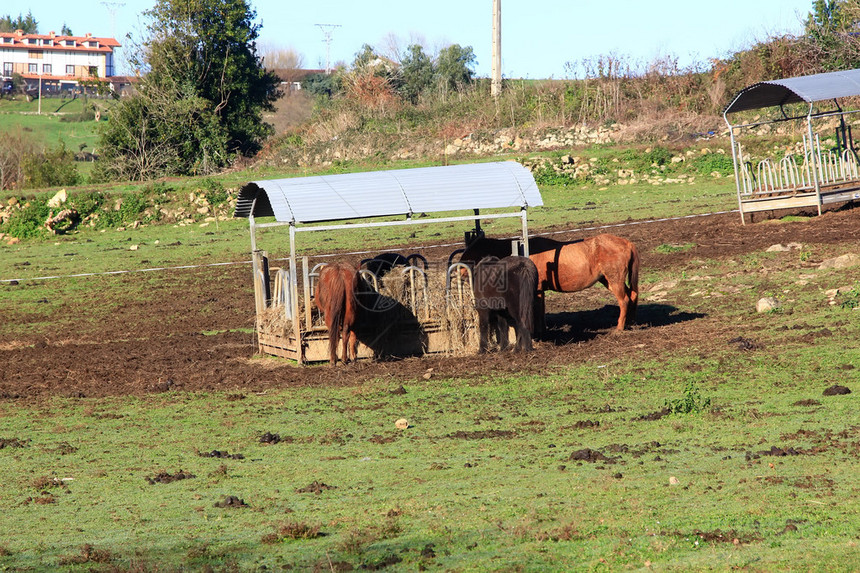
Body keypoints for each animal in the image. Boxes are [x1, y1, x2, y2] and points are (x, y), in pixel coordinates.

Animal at [464, 233, 640, 330]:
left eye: (472, 251)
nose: (461, 269)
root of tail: (627, 242)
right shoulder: (540, 290)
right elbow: (541, 311)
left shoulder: (537, 290)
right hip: (609, 280)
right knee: (632, 295)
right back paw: (630, 322)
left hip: (614, 279)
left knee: (624, 300)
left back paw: (619, 327)